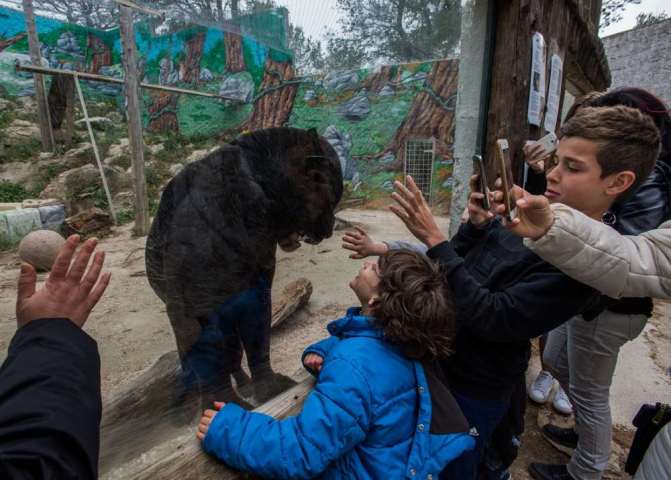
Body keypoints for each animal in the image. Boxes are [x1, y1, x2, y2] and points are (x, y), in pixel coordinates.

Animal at [149, 126, 344, 404]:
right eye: (332, 195)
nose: (330, 228)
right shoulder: (201, 306)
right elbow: (217, 353)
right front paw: (228, 402)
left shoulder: (255, 289)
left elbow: (255, 340)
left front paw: (266, 388)